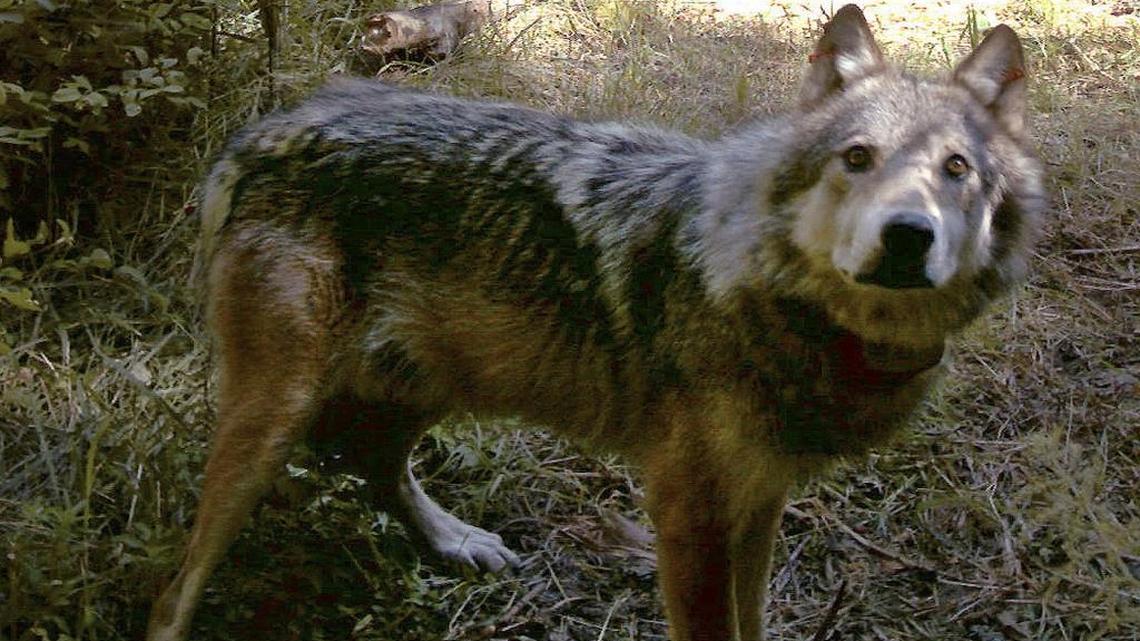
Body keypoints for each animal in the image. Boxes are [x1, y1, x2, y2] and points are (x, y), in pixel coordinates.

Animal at [148, 5, 1044, 640]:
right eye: (857, 158)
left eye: (956, 169)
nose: (907, 236)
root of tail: (262, 128)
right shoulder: (688, 514)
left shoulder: (759, 499)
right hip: (275, 418)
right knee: (174, 590)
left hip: (441, 376)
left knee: (369, 458)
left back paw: (456, 540)